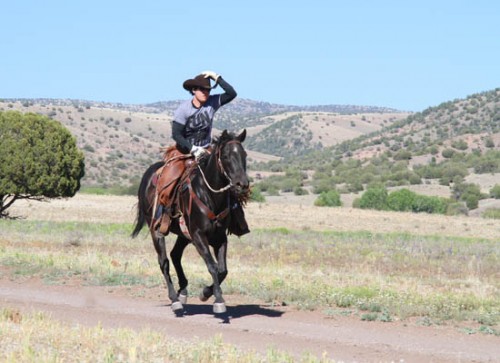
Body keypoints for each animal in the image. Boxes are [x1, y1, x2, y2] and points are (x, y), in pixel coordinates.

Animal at [132, 129, 249, 314]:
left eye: (244, 155)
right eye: (225, 156)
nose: (242, 184)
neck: (209, 194)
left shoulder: (220, 238)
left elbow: (222, 270)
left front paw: (206, 292)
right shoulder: (198, 235)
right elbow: (212, 266)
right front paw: (218, 300)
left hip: (183, 235)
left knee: (175, 255)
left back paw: (183, 291)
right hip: (156, 231)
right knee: (164, 262)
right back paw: (174, 299)